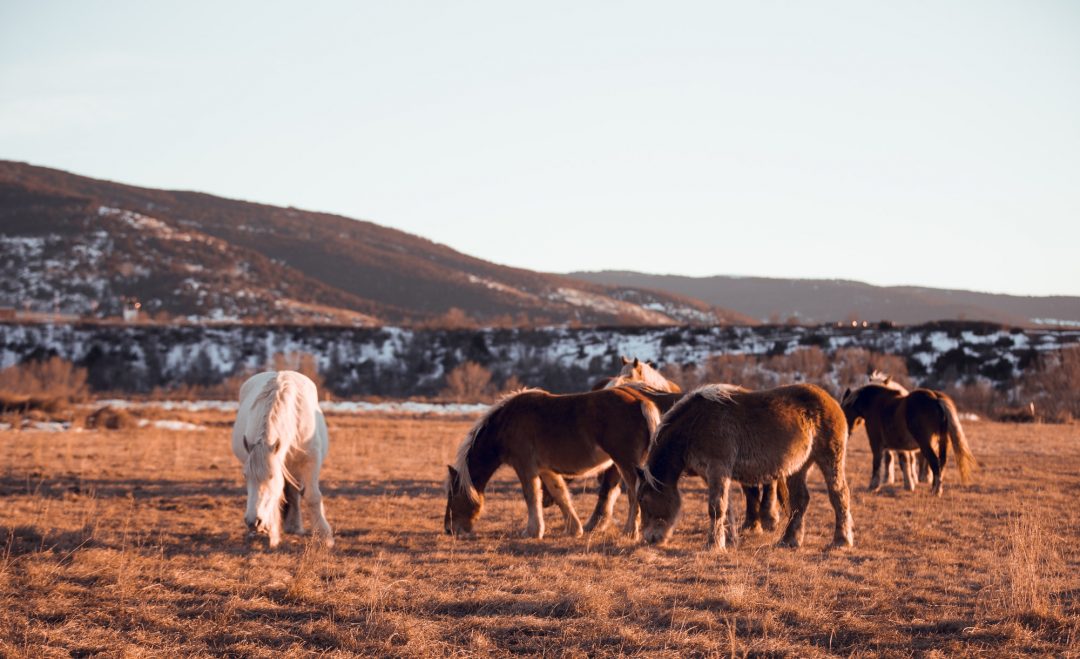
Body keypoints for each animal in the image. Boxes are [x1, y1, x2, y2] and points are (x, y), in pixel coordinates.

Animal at [231, 371, 334, 549]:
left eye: (271, 476)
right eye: (245, 477)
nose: (252, 522)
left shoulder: (310, 460)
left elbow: (312, 497)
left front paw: (325, 536)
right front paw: (271, 534)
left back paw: (294, 526)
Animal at [445, 387, 661, 539]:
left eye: (453, 495)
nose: (449, 529)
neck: (505, 423)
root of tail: (640, 401)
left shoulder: (525, 466)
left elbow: (531, 495)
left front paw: (532, 531)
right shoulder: (546, 469)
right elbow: (560, 494)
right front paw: (574, 529)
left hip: (625, 463)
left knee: (634, 493)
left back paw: (630, 531)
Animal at [636, 383, 853, 550]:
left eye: (645, 501)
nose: (650, 539)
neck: (695, 424)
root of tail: (830, 399)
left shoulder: (718, 469)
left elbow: (716, 507)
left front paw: (713, 545)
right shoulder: (712, 474)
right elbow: (727, 508)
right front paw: (729, 541)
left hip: (830, 457)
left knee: (839, 495)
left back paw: (841, 540)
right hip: (799, 466)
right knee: (800, 500)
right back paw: (789, 540)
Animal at [841, 380, 975, 497]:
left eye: (844, 410)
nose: (846, 433)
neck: (874, 403)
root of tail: (936, 399)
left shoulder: (876, 443)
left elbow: (877, 463)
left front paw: (873, 486)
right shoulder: (901, 447)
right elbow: (904, 463)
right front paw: (909, 485)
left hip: (925, 444)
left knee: (934, 462)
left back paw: (936, 491)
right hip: (943, 441)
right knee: (941, 463)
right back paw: (934, 488)